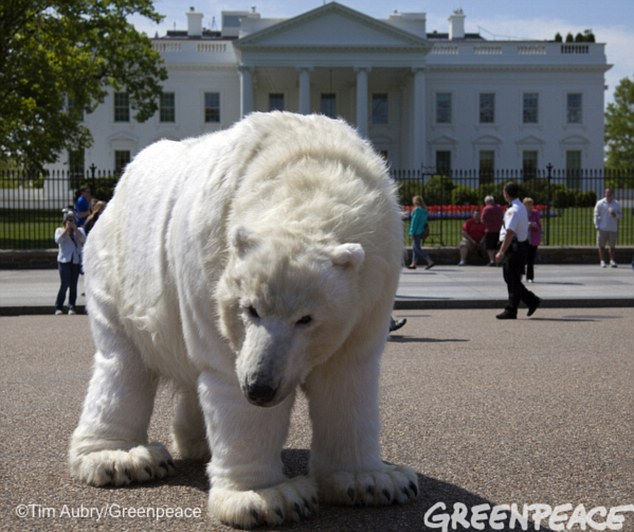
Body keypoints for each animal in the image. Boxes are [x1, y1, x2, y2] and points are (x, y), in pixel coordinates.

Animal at [69, 110, 418, 524]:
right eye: (250, 309)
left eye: (306, 319)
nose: (259, 387)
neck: (308, 172)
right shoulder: (211, 263)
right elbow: (226, 374)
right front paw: (268, 498)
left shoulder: (375, 282)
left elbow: (346, 375)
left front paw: (373, 481)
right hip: (113, 271)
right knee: (123, 364)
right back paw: (121, 458)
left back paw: (195, 443)